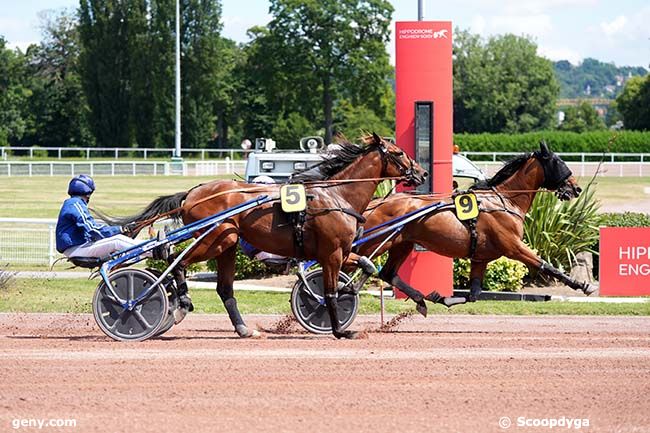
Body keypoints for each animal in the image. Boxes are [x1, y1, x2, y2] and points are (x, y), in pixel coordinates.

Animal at [111, 132, 426, 338]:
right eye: (399, 153)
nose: (422, 173)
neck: (336, 195)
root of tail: (192, 193)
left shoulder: (339, 252)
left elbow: (368, 265)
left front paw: (354, 291)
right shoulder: (331, 254)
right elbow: (329, 292)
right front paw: (339, 329)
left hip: (227, 244)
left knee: (224, 288)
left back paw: (242, 328)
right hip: (215, 238)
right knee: (176, 259)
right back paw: (178, 302)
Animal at [346, 141, 596, 314]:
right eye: (559, 163)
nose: (576, 188)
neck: (505, 201)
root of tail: (375, 203)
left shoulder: (480, 257)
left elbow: (474, 293)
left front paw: (440, 298)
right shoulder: (514, 247)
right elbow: (547, 266)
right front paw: (583, 285)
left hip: (401, 243)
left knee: (387, 273)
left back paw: (419, 299)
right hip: (376, 242)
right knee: (356, 263)